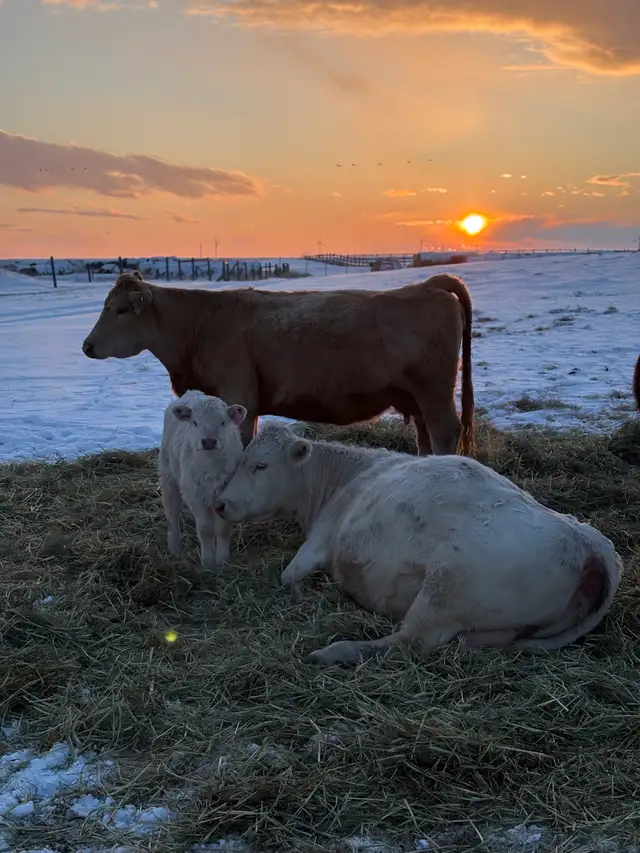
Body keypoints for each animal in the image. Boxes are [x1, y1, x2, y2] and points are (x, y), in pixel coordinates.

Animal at [81, 270, 475, 457]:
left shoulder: (239, 397)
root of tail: (428, 284)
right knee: (424, 436)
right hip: (417, 397)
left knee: (445, 433)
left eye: (120, 309)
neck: (200, 325)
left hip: (435, 394)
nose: (86, 345)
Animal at [159, 390, 247, 570]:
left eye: (223, 422)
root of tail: (192, 392)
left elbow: (223, 529)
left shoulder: (228, 496)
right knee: (172, 513)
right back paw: (175, 547)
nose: (209, 441)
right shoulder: (195, 496)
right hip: (169, 475)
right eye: (195, 422)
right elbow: (205, 530)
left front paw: (222, 560)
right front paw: (207, 563)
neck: (211, 465)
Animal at [213, 423, 622, 666]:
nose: (219, 503)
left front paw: (310, 591)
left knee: (411, 641)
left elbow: (288, 576)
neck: (346, 478)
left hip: (444, 593)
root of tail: (589, 542)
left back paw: (332, 651)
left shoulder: (320, 540)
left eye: (261, 466)